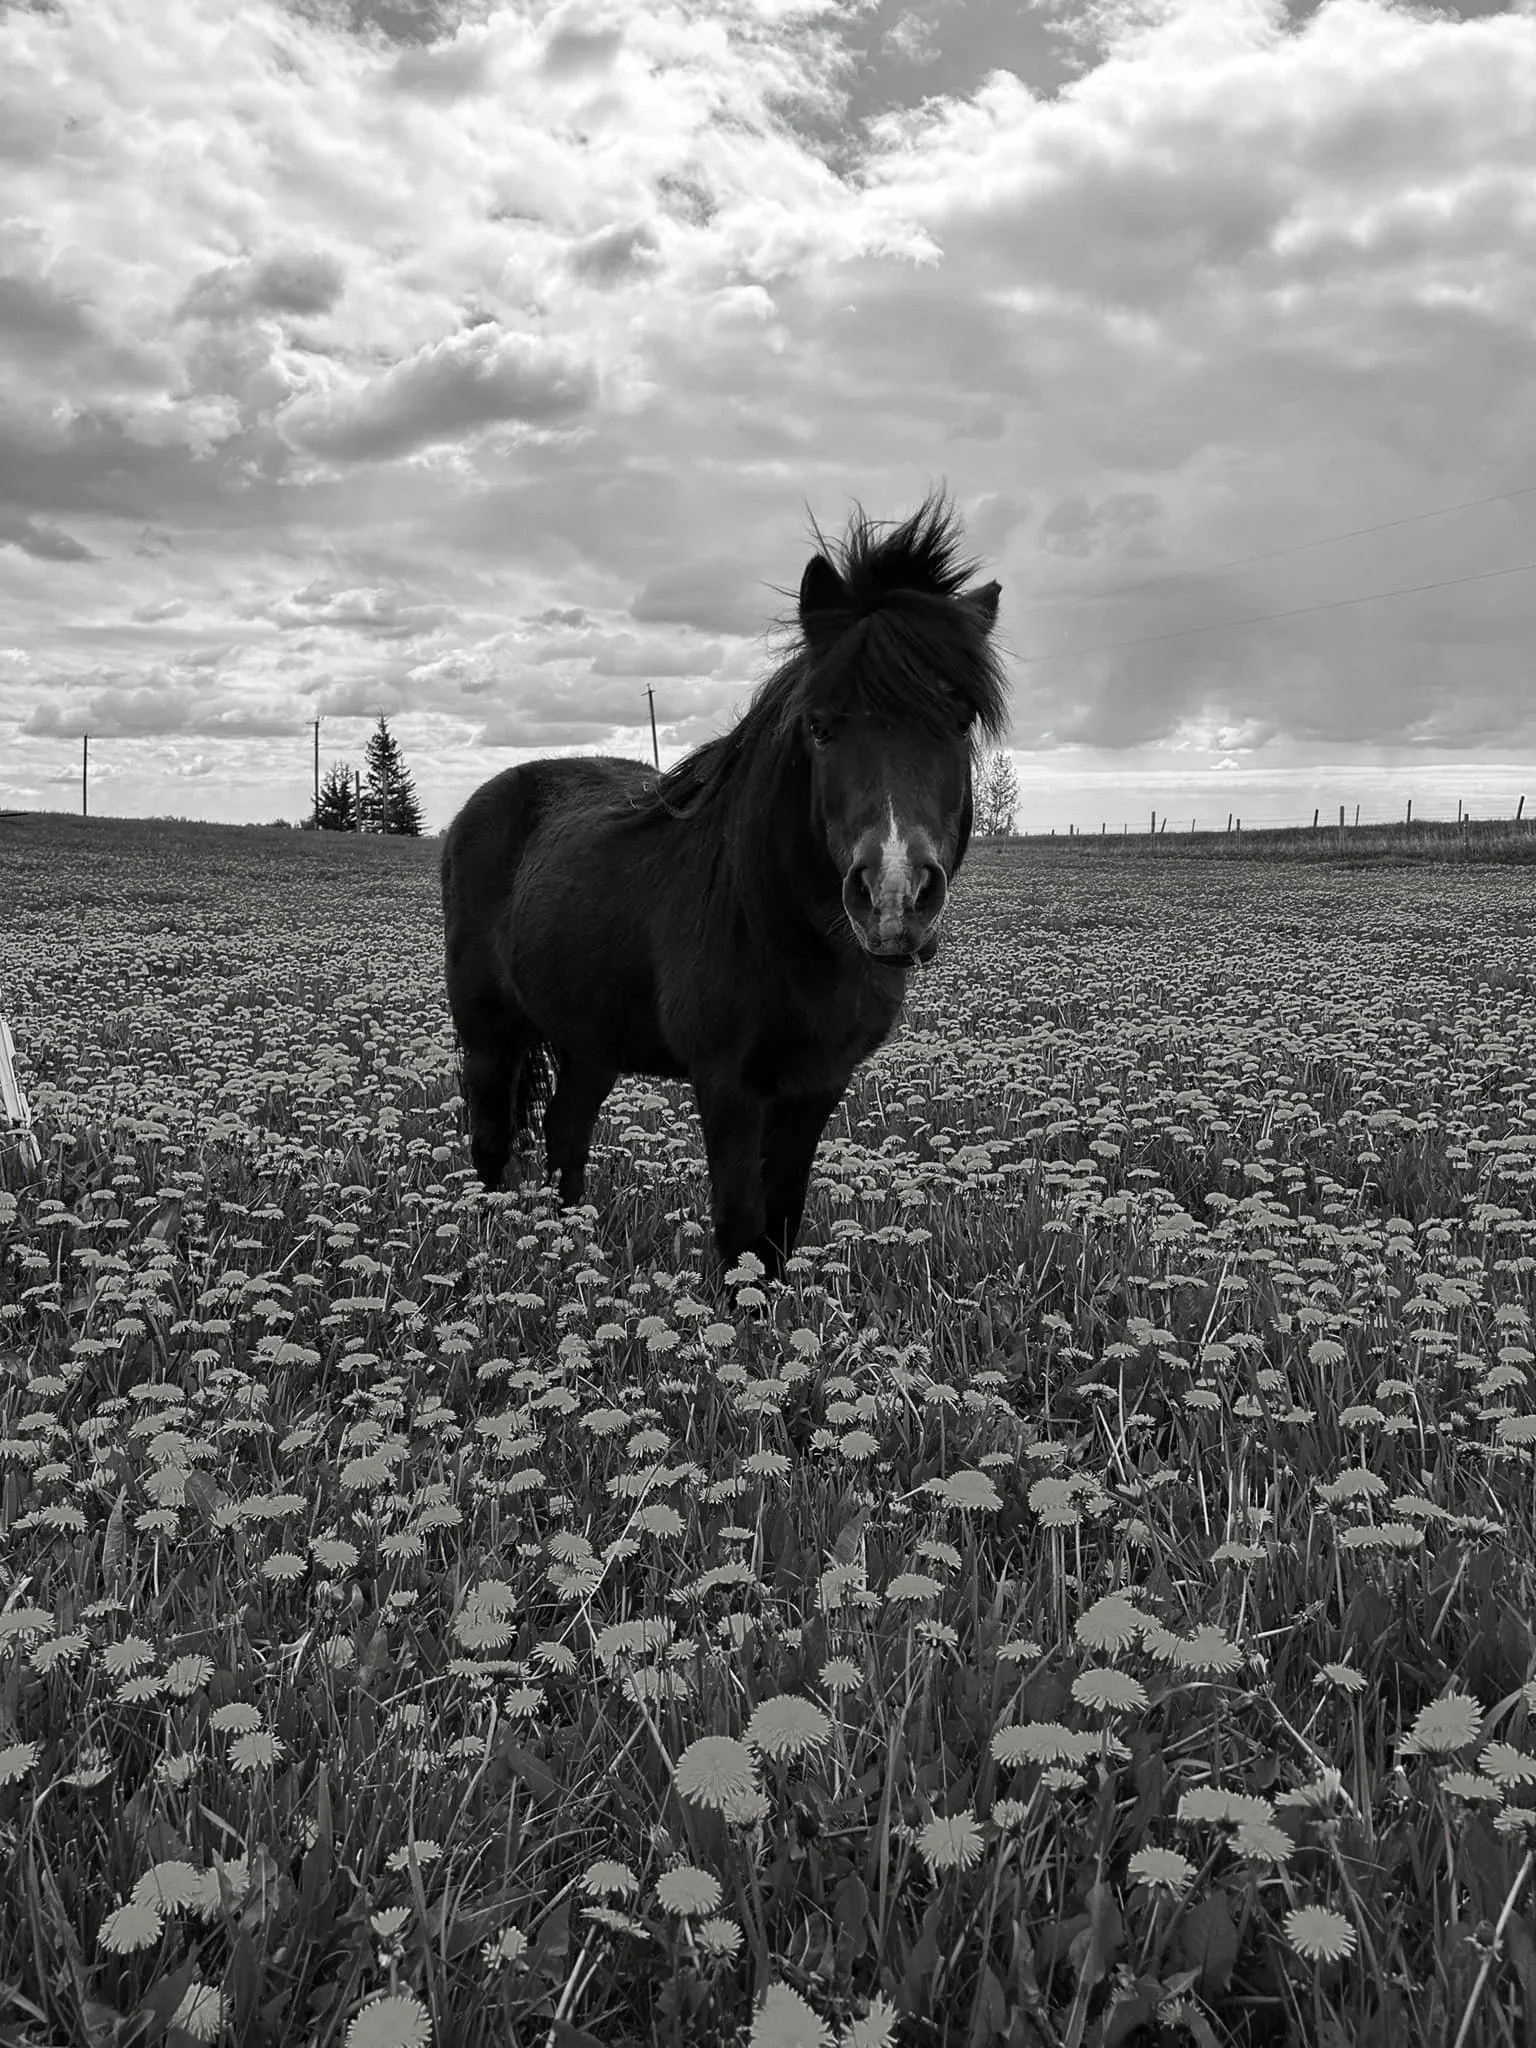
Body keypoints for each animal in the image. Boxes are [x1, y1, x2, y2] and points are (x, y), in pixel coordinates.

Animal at [440, 488, 1007, 1282]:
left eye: (958, 722)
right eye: (820, 728)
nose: (894, 899)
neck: (784, 929)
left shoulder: (816, 1083)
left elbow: (780, 1224)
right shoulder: (729, 1085)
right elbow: (741, 1227)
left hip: (588, 1035)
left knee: (565, 1133)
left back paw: (571, 1254)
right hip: (488, 1029)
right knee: (492, 1143)